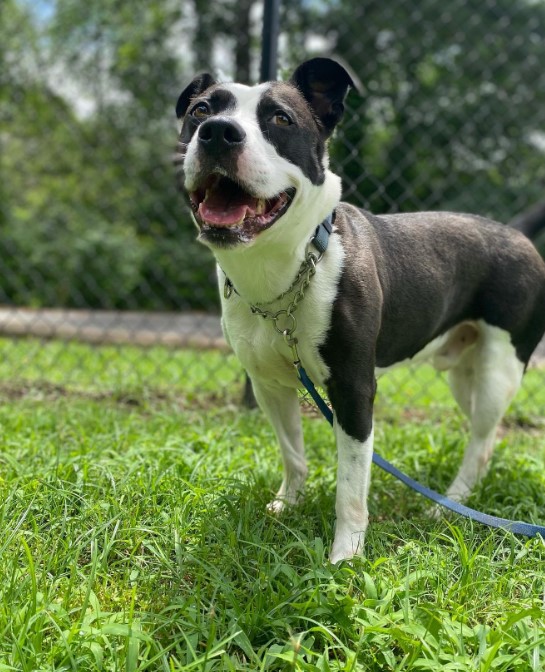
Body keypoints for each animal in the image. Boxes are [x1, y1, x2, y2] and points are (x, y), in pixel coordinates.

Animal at [173, 56, 544, 560]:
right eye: (201, 110)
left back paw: (446, 506)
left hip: (499, 369)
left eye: (280, 119)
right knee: (482, 436)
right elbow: (293, 453)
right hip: (465, 374)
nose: (217, 132)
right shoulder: (269, 386)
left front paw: (344, 557)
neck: (287, 267)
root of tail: (514, 232)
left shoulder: (353, 391)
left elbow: (351, 486)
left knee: (482, 440)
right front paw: (288, 504)